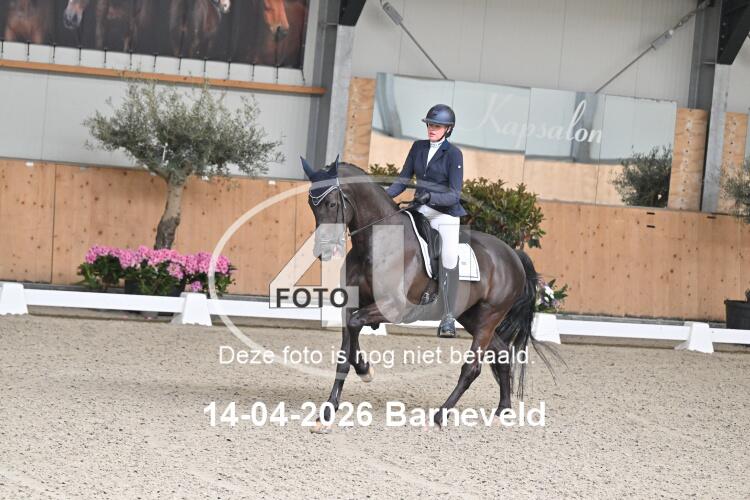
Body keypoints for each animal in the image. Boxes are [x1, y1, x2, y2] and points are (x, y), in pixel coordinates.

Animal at [301, 159, 545, 432]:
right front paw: (328, 412)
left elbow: (355, 327)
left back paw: (439, 417)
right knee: (502, 354)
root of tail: (513, 255)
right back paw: (502, 411)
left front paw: (363, 371)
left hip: (489, 317)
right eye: (311, 204)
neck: (376, 244)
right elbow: (345, 354)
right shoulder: (352, 305)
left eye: (332, 204)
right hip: (472, 317)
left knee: (472, 368)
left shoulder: (393, 307)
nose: (321, 251)